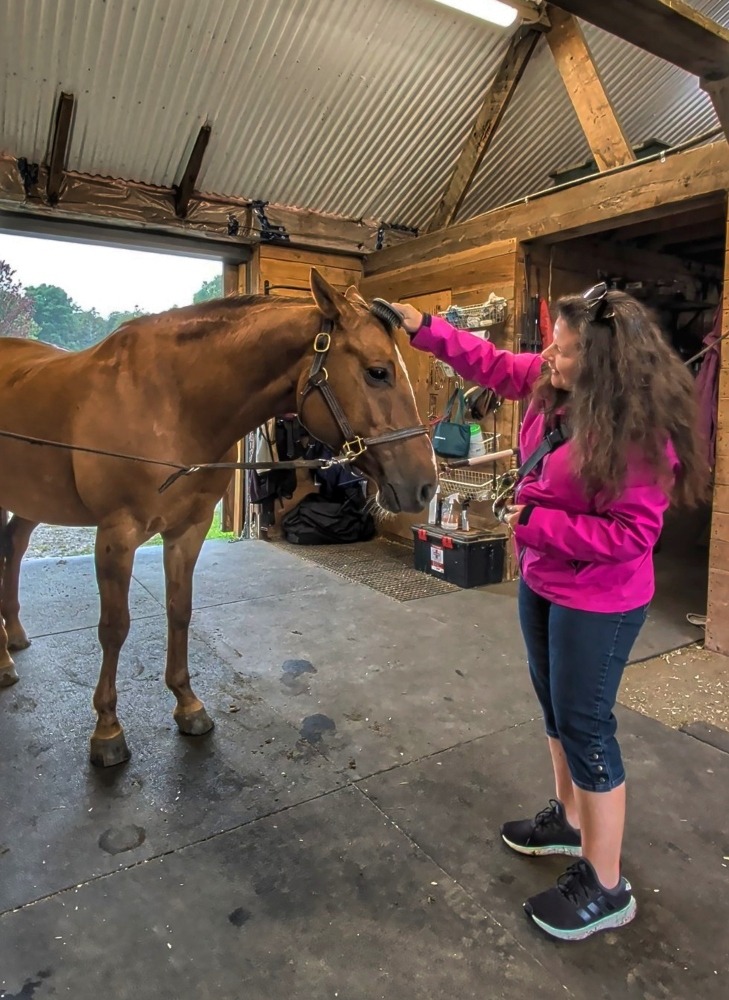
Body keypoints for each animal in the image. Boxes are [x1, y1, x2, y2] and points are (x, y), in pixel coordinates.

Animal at [0, 268, 437, 767]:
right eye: (377, 372)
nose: (426, 483)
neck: (169, 401)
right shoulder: (116, 535)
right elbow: (114, 628)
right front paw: (107, 730)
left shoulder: (186, 532)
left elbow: (180, 611)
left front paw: (187, 705)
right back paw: (5, 661)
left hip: (30, 500)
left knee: (13, 546)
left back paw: (12, 640)